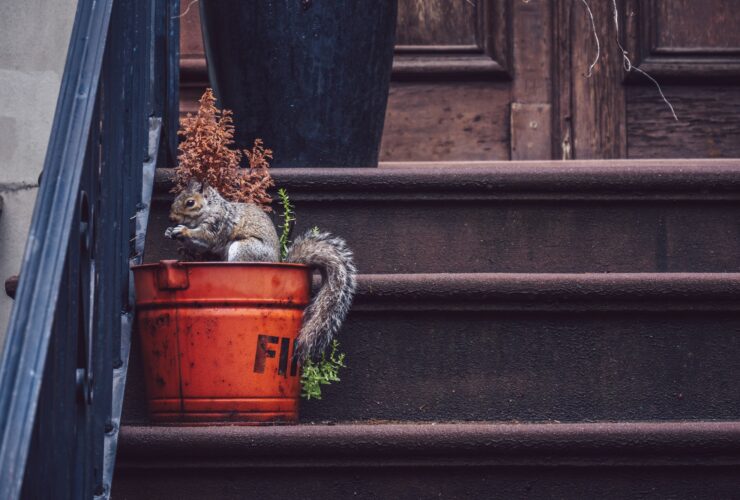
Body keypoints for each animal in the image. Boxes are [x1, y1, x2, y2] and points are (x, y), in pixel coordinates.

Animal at [165, 180, 357, 361]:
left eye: (190, 202)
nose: (172, 218)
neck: (211, 207)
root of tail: (278, 262)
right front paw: (169, 231)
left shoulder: (217, 225)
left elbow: (204, 238)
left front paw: (184, 231)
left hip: (243, 248)